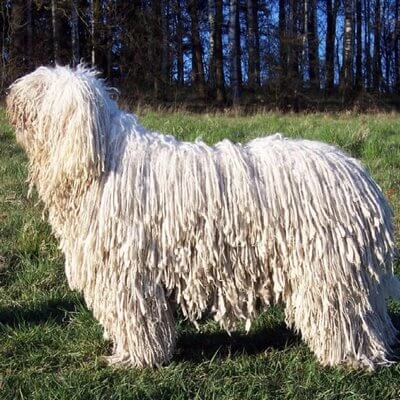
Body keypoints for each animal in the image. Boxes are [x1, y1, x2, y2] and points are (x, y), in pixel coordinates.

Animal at [6, 65, 400, 368]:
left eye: (41, 88)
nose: (11, 92)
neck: (101, 160)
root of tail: (362, 178)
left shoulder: (128, 272)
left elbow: (136, 318)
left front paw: (135, 359)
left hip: (329, 269)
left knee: (344, 317)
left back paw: (349, 359)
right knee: (371, 318)